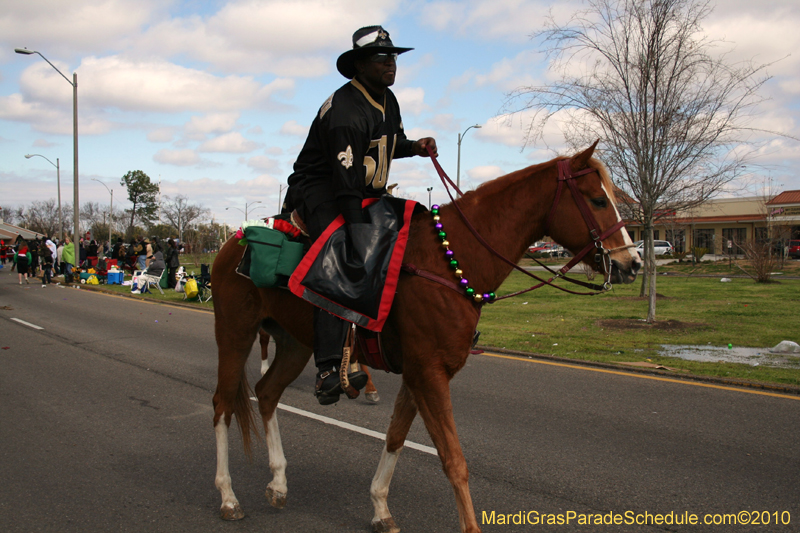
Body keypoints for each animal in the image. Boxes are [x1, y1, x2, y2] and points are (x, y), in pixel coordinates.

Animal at [212, 142, 644, 532]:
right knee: (223, 406)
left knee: (266, 393)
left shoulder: (419, 373)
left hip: (294, 344)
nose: (633, 263)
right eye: (597, 200)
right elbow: (454, 460)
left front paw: (380, 508)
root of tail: (232, 243)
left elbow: (396, 437)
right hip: (234, 334)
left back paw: (279, 483)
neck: (449, 261)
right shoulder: (429, 373)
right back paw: (229, 498)